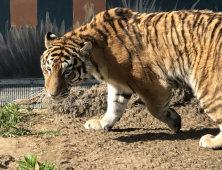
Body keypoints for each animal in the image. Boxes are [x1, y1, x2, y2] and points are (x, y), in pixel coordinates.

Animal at [40, 7, 222, 149]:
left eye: (67, 72)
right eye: (48, 69)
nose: (52, 94)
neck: (96, 56)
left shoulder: (152, 84)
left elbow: (155, 109)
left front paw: (175, 121)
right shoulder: (118, 84)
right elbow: (114, 106)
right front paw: (102, 123)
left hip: (209, 87)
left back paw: (210, 141)